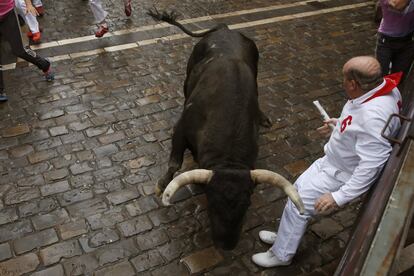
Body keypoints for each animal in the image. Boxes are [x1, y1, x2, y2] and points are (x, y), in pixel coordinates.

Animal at [149, 9, 304, 250]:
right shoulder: (181, 130)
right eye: (211, 201)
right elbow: (174, 163)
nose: (227, 244)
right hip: (188, 74)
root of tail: (225, 29)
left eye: (247, 203)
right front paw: (160, 185)